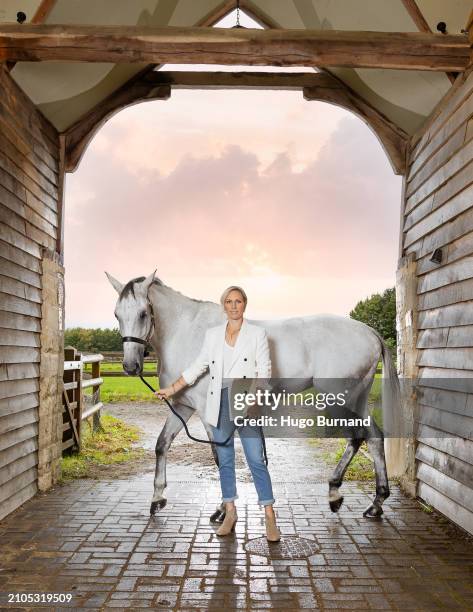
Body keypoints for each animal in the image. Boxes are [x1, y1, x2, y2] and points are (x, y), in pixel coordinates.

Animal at [105, 272, 396, 520]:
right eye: (117, 314)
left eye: (143, 313)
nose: (130, 366)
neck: (188, 334)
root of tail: (369, 332)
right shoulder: (183, 406)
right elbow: (162, 444)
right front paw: (157, 499)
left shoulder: (207, 411)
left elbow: (218, 455)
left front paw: (221, 510)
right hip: (356, 398)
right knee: (372, 437)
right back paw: (373, 502)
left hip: (340, 399)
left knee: (359, 436)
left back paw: (342, 494)